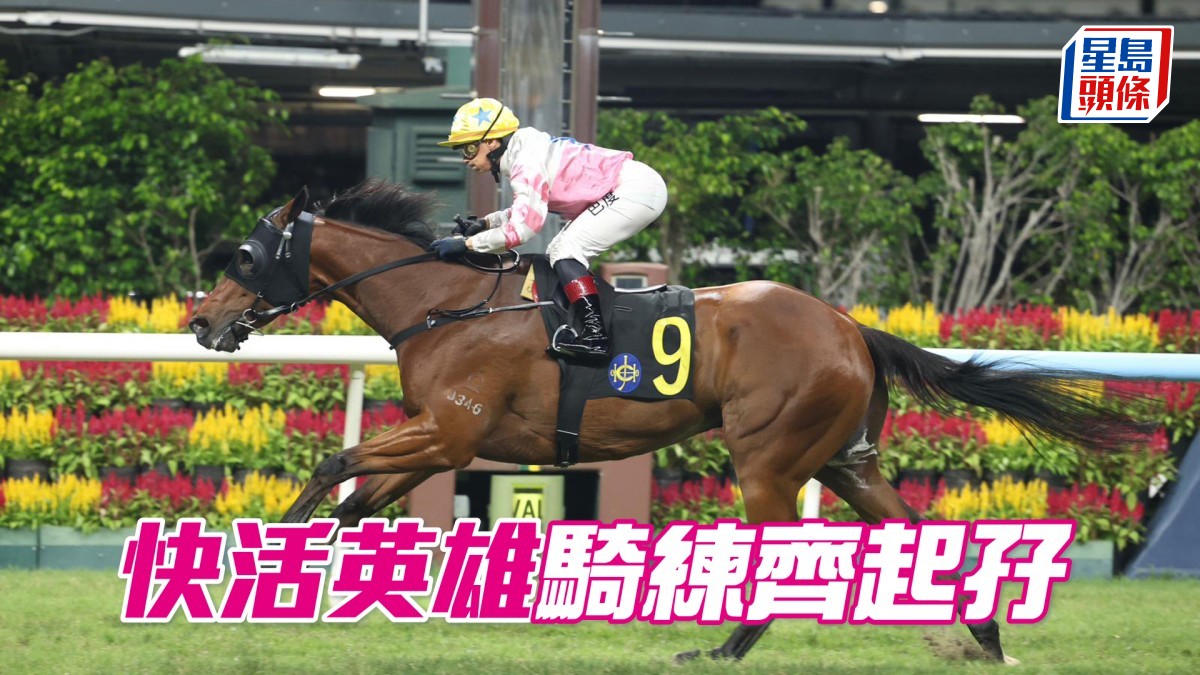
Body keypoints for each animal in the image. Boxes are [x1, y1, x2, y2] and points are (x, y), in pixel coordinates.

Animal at [188, 179, 1149, 664]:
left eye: (247, 257)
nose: (201, 320)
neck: (446, 304)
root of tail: (849, 326)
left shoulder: (450, 431)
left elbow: (334, 464)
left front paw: (257, 561)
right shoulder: (442, 438)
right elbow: (356, 495)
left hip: (770, 456)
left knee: (780, 541)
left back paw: (726, 646)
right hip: (847, 459)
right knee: (913, 531)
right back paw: (983, 637)